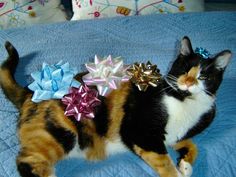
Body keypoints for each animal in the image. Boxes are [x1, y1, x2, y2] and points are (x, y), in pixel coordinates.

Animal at [0, 36, 231, 177]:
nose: (189, 82)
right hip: (59, 131)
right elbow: (166, 164)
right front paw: (178, 169)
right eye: (184, 69)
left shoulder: (173, 136)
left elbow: (192, 145)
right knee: (26, 160)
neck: (183, 100)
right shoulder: (141, 133)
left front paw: (185, 165)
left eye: (203, 75)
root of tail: (30, 92)